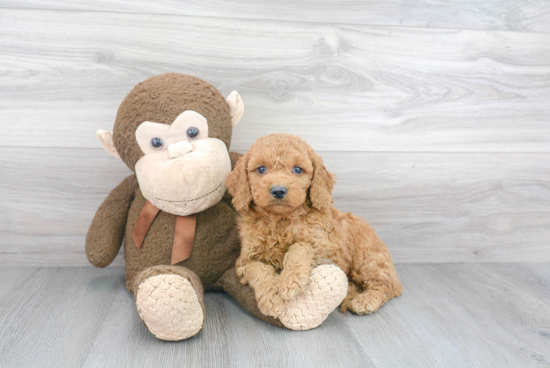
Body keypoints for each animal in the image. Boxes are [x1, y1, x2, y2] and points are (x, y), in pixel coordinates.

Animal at [226, 134, 404, 318]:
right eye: (261, 169)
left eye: (297, 170)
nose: (278, 191)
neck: (281, 221)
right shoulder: (245, 259)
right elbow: (258, 270)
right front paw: (272, 298)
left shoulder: (324, 246)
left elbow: (299, 247)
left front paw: (291, 280)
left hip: (367, 258)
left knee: (388, 285)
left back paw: (365, 301)